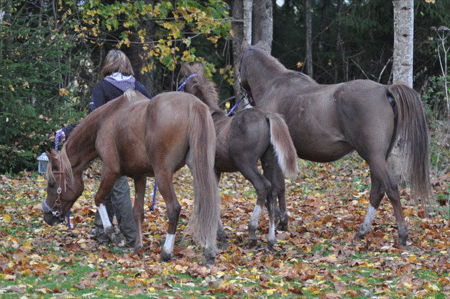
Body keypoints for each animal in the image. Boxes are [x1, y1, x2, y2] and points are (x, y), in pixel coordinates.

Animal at [42, 89, 220, 268]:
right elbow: (137, 212)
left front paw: (113, 234)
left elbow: (98, 199)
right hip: (201, 168)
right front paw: (138, 247)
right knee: (209, 206)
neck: (105, 119)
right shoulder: (139, 176)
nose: (47, 216)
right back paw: (210, 252)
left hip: (163, 174)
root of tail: (193, 103)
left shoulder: (110, 171)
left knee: (174, 209)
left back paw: (166, 252)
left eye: (52, 184)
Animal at [179, 63, 298, 248]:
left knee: (263, 186)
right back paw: (271, 239)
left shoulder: (202, 168)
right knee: (273, 191)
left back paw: (252, 231)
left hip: (245, 163)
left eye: (182, 83)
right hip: (268, 160)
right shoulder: (216, 170)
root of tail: (267, 115)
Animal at [239, 41, 432, 250]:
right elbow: (281, 187)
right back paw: (362, 231)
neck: (274, 86)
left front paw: (277, 223)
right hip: (379, 157)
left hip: (373, 156)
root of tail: (384, 90)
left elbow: (275, 187)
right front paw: (283, 222)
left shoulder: (273, 154)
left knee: (390, 188)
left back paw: (402, 235)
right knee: (377, 191)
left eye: (239, 63)